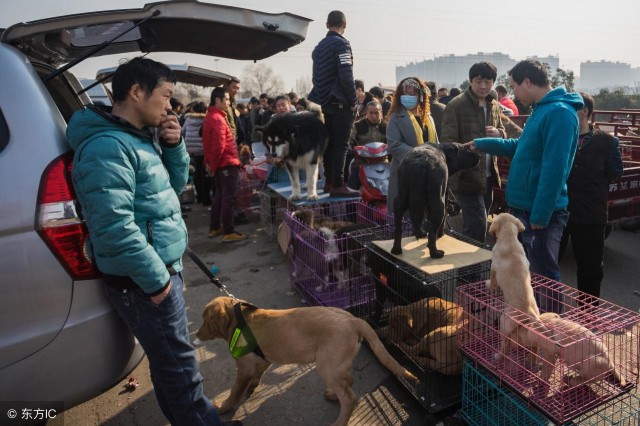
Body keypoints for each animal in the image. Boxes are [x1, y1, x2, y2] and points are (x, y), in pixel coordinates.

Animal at [195, 296, 418, 426]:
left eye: (205, 320)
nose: (196, 334)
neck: (240, 320)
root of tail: (354, 319)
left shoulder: (244, 367)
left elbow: (235, 391)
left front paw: (224, 407)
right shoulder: (263, 360)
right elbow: (257, 374)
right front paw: (253, 386)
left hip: (327, 365)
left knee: (350, 397)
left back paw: (339, 421)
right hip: (337, 363)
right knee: (349, 383)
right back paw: (332, 395)